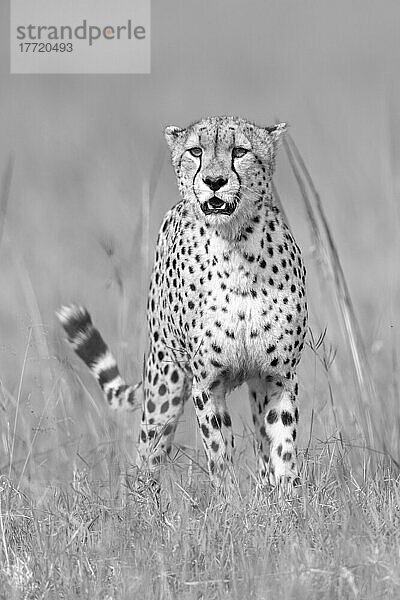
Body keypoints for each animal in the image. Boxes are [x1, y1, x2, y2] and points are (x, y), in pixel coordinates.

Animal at [57, 116, 306, 492]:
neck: (236, 245)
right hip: (165, 382)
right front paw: (229, 500)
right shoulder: (207, 381)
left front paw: (287, 501)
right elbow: (219, 451)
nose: (214, 182)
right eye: (196, 152)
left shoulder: (277, 377)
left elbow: (281, 448)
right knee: (149, 453)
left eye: (240, 151)